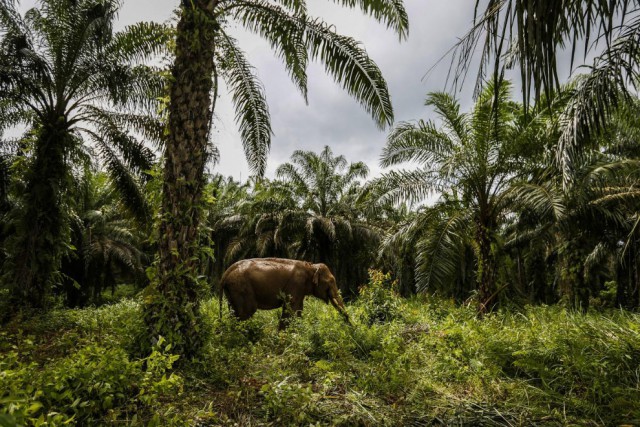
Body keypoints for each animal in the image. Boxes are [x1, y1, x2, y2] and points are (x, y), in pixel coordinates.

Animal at [219, 258, 350, 332]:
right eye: (331, 282)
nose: (349, 325)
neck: (311, 266)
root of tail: (225, 273)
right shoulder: (296, 284)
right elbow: (290, 308)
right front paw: (283, 335)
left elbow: (298, 309)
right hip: (241, 287)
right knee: (246, 312)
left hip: (232, 291)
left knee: (234, 312)